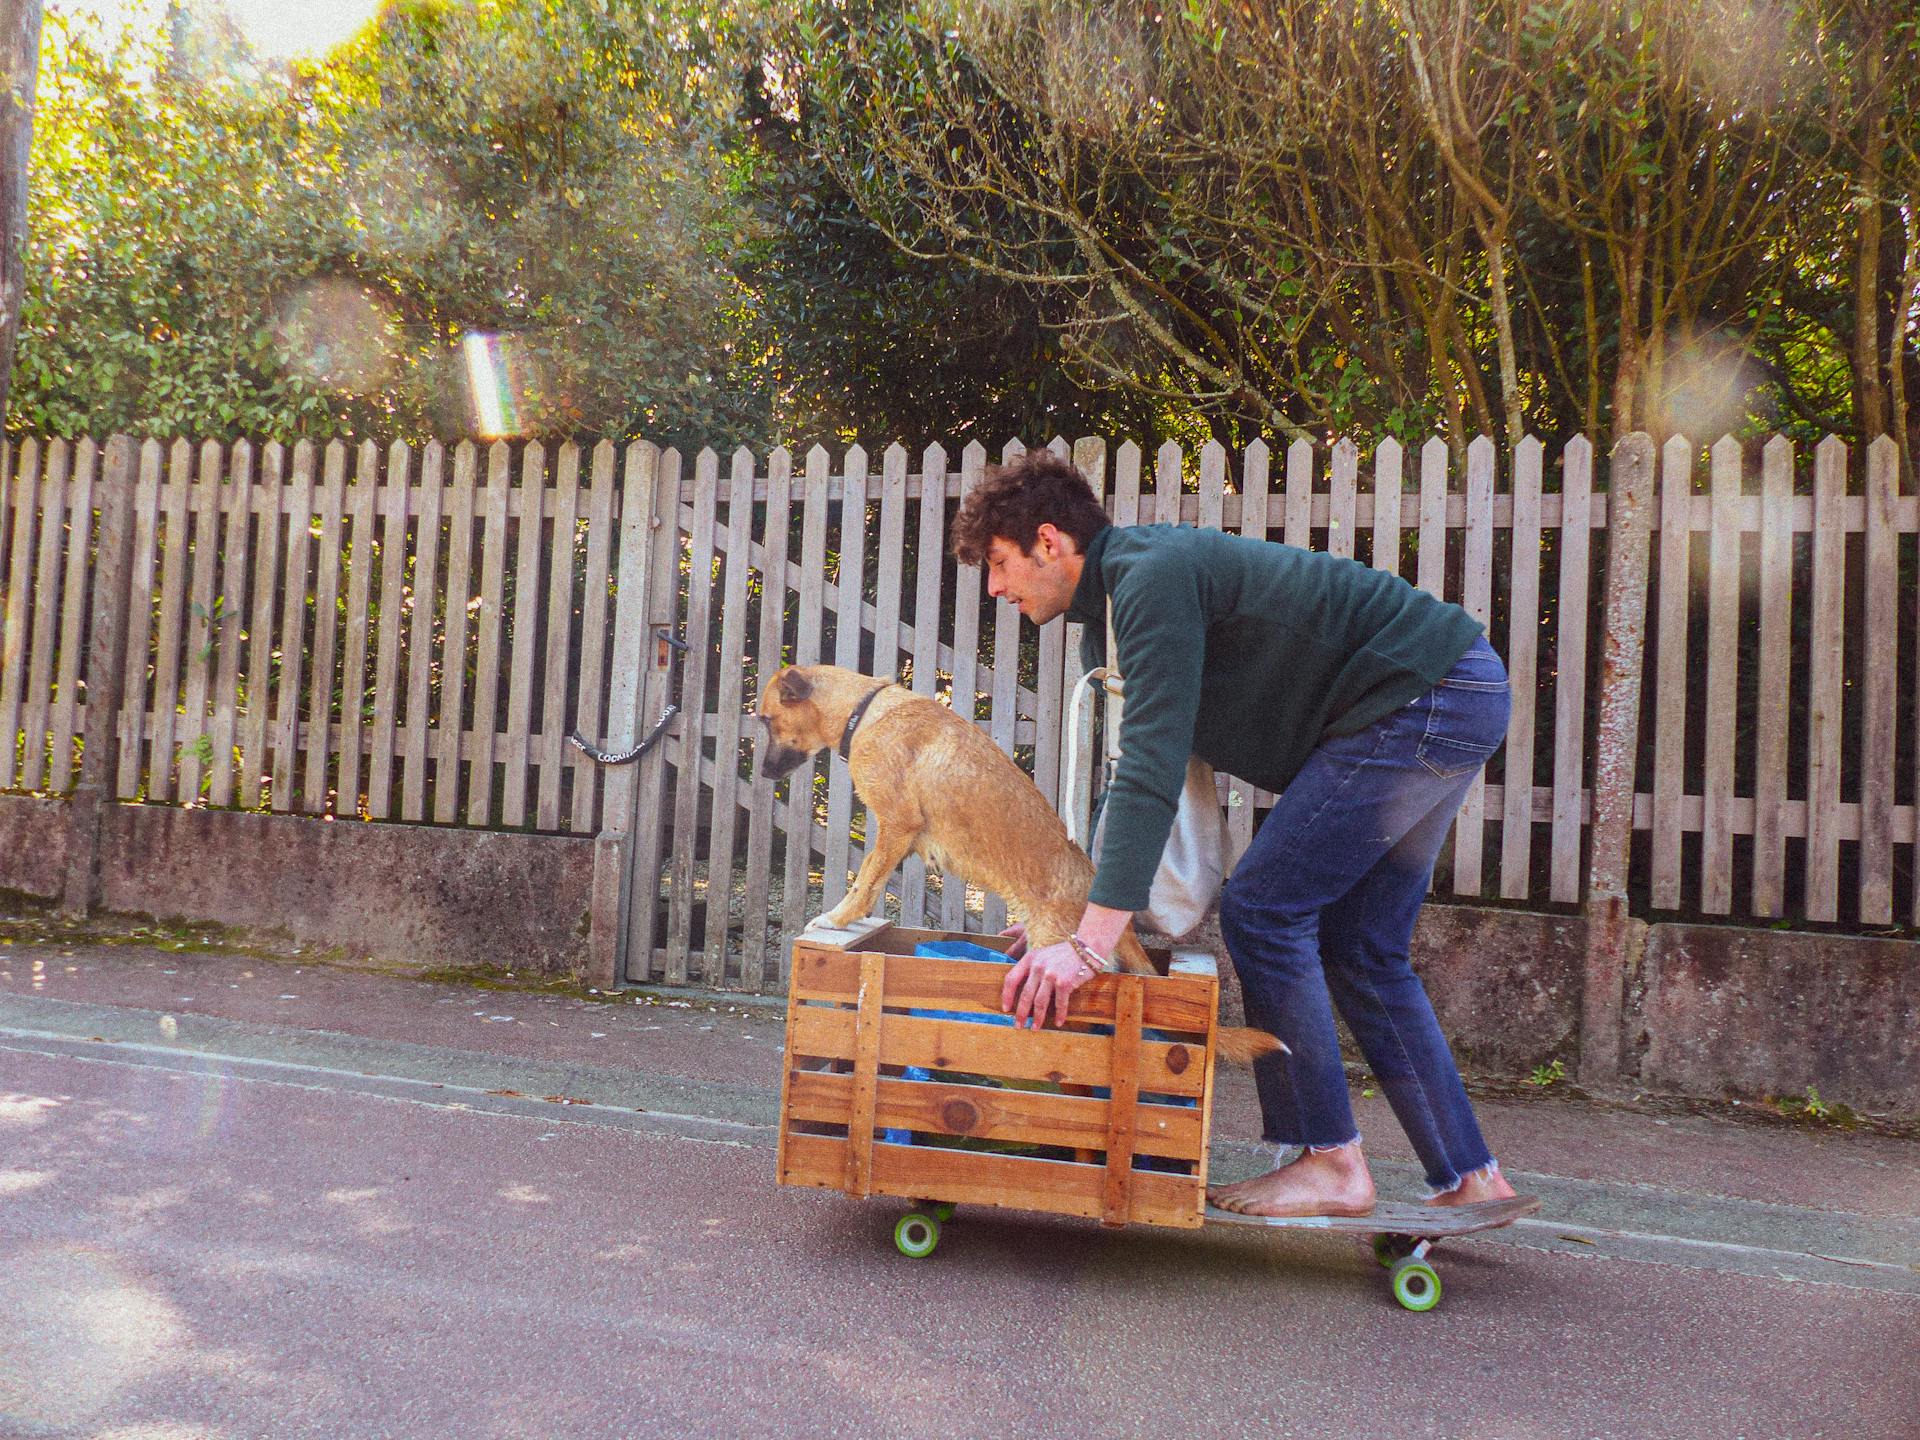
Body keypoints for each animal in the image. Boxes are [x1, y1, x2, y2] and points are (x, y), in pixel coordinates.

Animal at [756, 664, 1282, 1075]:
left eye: (765, 719)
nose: (761, 774)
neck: (862, 710)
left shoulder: (896, 826)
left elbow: (864, 880)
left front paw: (838, 918)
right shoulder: (900, 838)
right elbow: (874, 881)